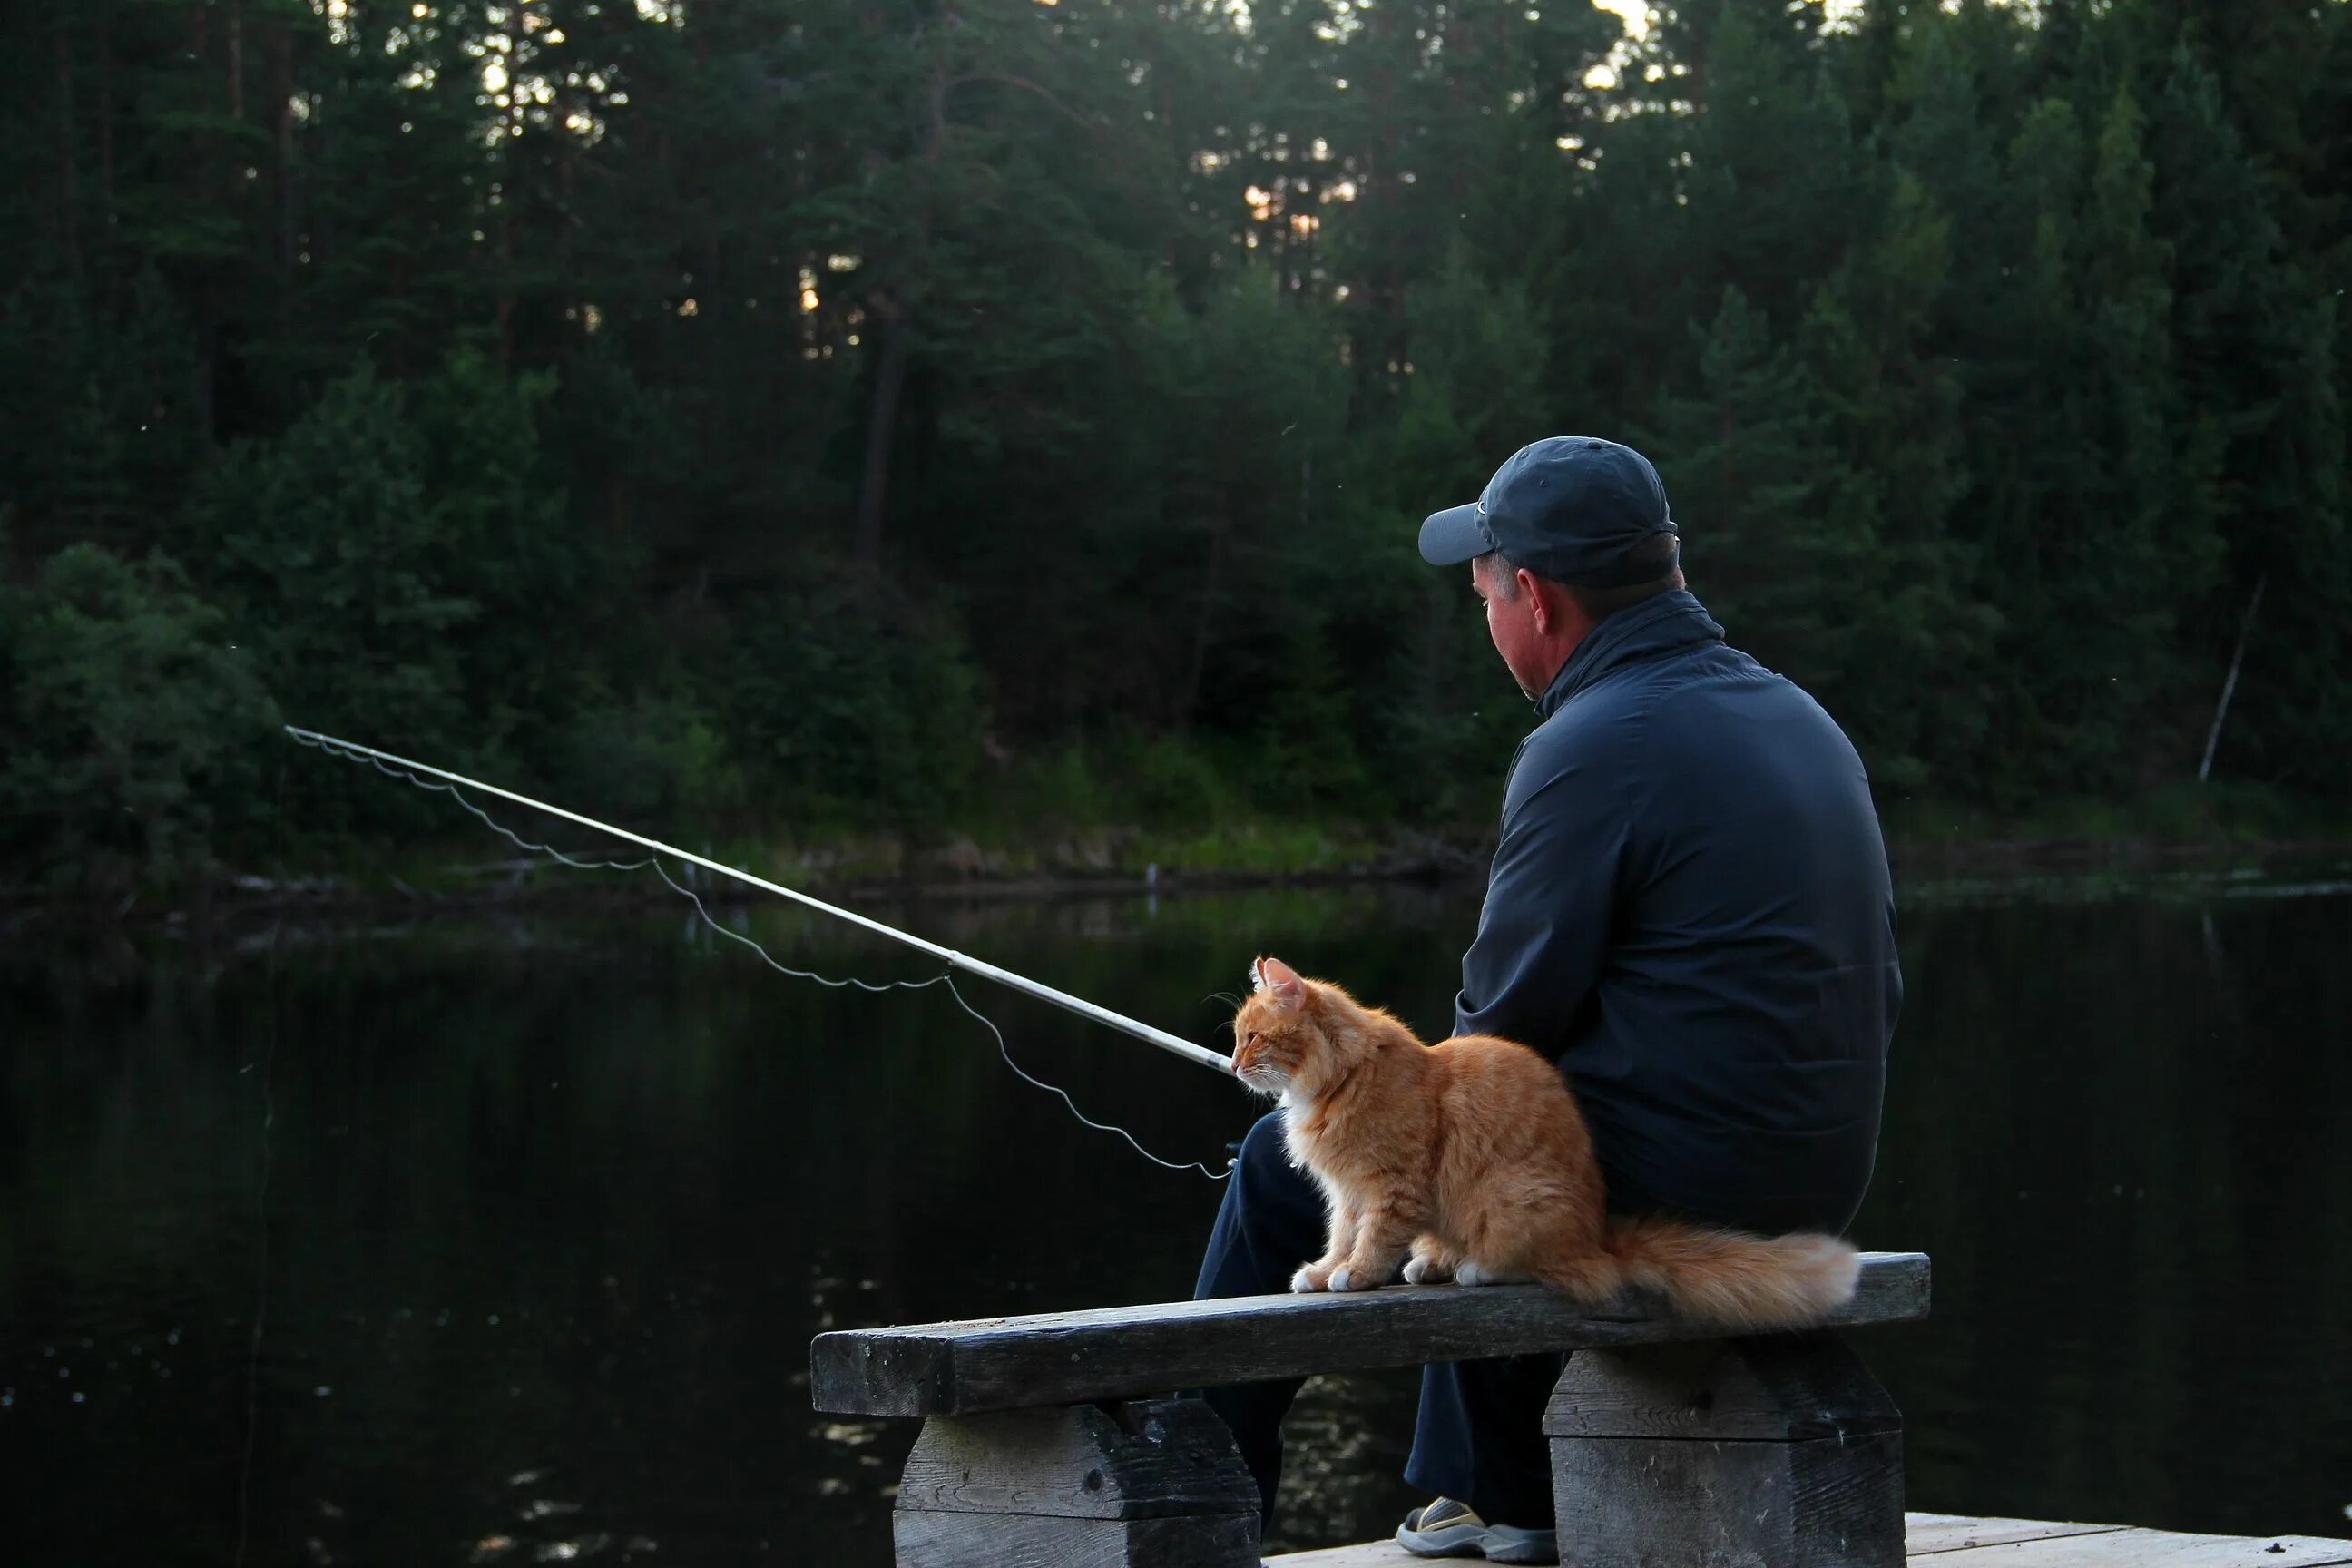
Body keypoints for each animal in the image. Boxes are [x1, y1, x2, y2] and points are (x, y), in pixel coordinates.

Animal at [1232, 949, 1853, 1335]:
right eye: (1236, 1040)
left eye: (1253, 1037)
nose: (1235, 1066)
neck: (1339, 1079)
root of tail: (1600, 1237)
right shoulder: (1346, 1195)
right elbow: (1340, 1238)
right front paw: (1321, 1272)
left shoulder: (1391, 1187)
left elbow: (1371, 1243)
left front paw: (1356, 1277)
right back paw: (1433, 1263)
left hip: (1516, 1202)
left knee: (1555, 1270)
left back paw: (1474, 1267)